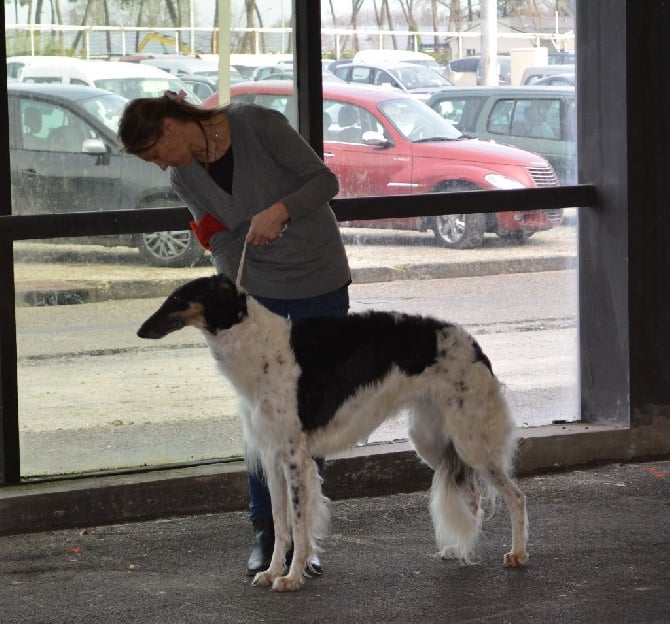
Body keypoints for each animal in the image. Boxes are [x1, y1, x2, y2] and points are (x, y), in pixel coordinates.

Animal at [138, 276, 532, 592]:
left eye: (178, 298)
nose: (141, 331)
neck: (256, 344)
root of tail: (472, 342)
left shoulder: (295, 457)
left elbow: (299, 525)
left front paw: (291, 578)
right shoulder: (272, 456)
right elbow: (280, 524)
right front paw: (271, 572)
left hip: (469, 437)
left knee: (515, 496)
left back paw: (517, 553)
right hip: (431, 438)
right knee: (472, 496)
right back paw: (461, 550)